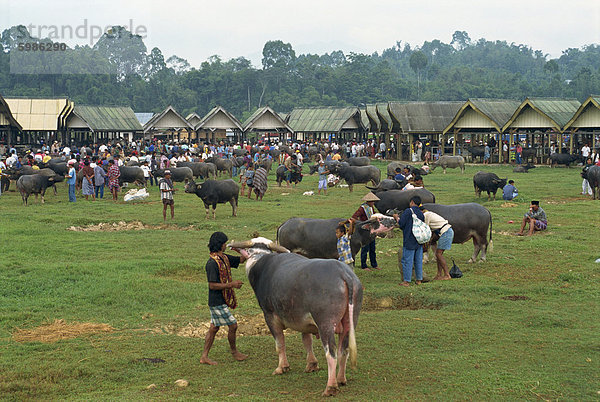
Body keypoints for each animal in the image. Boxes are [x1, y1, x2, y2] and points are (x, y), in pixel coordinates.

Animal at [227, 237, 364, 398]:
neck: (260, 260)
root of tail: (344, 274)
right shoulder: (304, 321)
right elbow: (307, 341)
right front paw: (311, 364)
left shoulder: (270, 315)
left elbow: (280, 343)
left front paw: (282, 367)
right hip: (350, 321)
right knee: (344, 350)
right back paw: (341, 379)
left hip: (326, 324)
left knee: (331, 354)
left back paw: (330, 386)